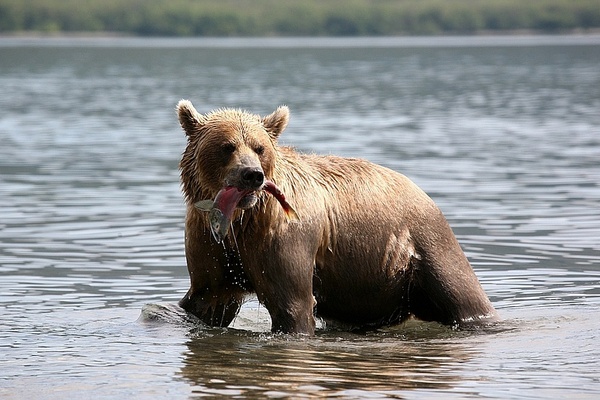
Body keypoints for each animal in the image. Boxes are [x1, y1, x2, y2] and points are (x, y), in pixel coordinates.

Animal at [176, 100, 500, 334]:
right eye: (227, 146)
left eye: (260, 147)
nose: (251, 174)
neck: (242, 220)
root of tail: (422, 190)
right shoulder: (210, 241)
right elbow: (208, 297)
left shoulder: (283, 237)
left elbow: (291, 303)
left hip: (427, 243)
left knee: (462, 294)